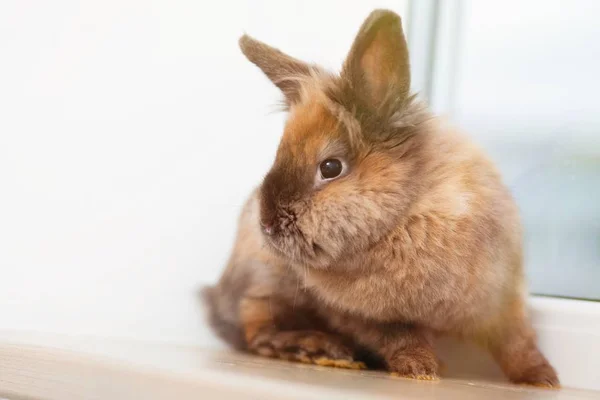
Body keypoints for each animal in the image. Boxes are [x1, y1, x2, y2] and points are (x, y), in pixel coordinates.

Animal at [204, 9, 560, 388]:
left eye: (330, 167)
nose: (267, 223)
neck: (405, 216)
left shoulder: (502, 297)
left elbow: (518, 341)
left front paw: (542, 379)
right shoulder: (365, 317)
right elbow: (401, 338)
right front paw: (420, 369)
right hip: (263, 285)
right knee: (256, 331)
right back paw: (315, 347)